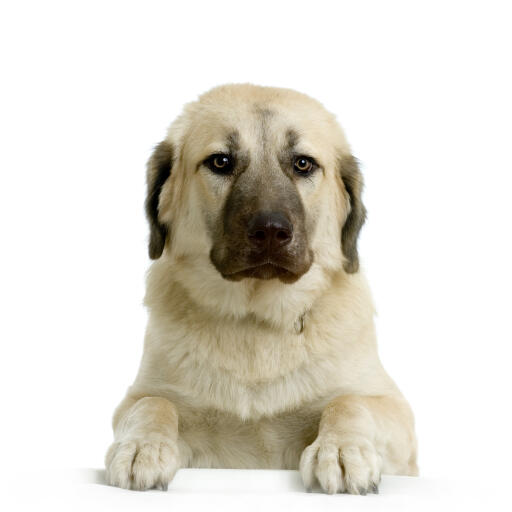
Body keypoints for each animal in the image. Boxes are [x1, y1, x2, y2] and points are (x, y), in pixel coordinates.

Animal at [104, 85, 416, 496]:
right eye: (221, 162)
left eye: (303, 164)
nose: (270, 230)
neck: (256, 320)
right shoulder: (139, 397)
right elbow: (154, 404)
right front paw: (142, 446)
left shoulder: (393, 410)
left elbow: (349, 402)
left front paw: (342, 449)